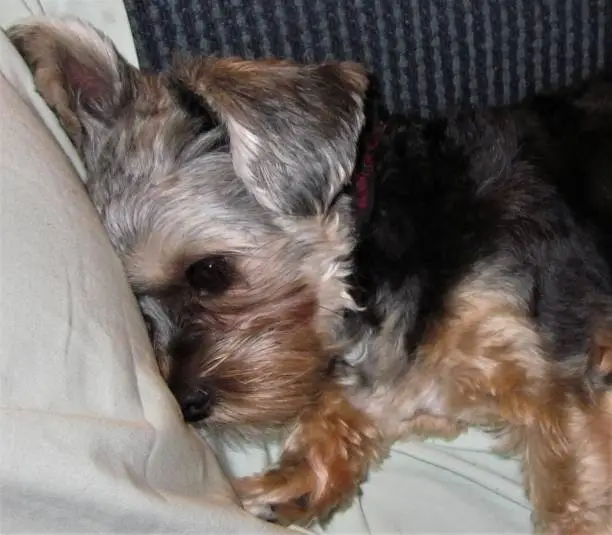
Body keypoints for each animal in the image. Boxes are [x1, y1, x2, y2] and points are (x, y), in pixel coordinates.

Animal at [10, 17, 612, 535]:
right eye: (139, 307)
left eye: (209, 272)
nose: (187, 405)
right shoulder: (413, 381)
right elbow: (349, 405)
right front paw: (290, 483)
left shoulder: (552, 380)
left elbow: (571, 492)